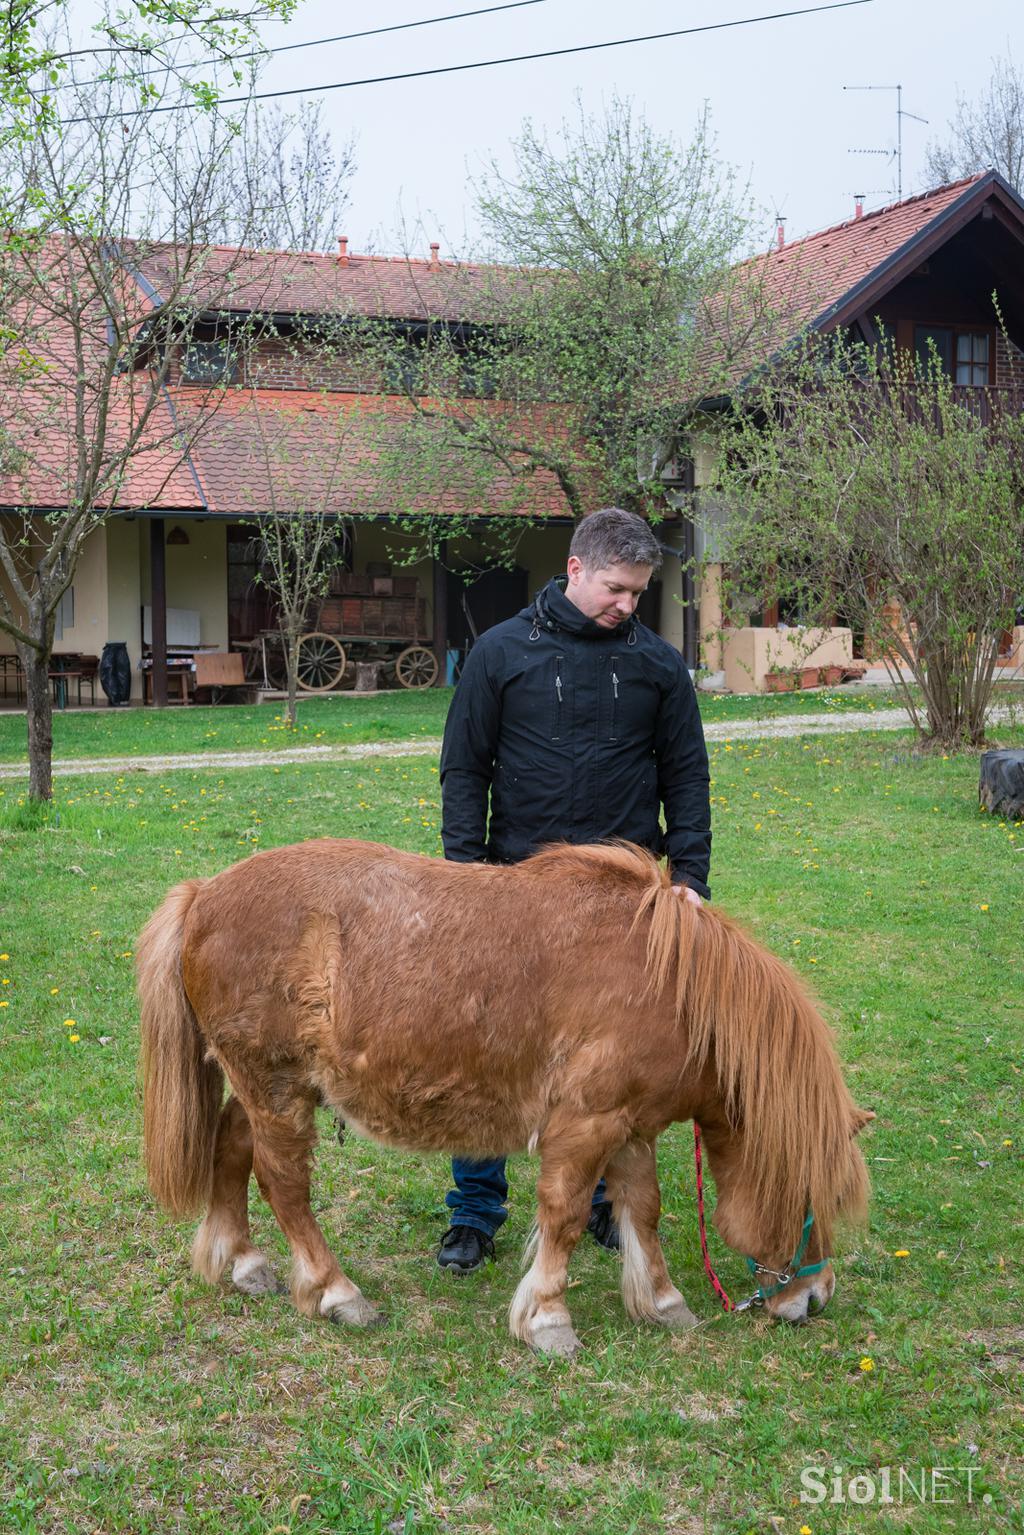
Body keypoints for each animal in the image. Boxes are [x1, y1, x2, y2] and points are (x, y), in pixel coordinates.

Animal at [138, 841, 872, 1356]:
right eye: (813, 1198)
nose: (815, 1298)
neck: (667, 983)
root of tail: (203, 895)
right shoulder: (585, 1124)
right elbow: (565, 1213)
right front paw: (548, 1318)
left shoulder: (630, 1127)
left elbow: (643, 1209)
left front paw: (663, 1303)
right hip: (278, 1087)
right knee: (283, 1182)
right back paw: (335, 1291)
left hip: (264, 1088)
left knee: (231, 1148)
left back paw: (243, 1261)